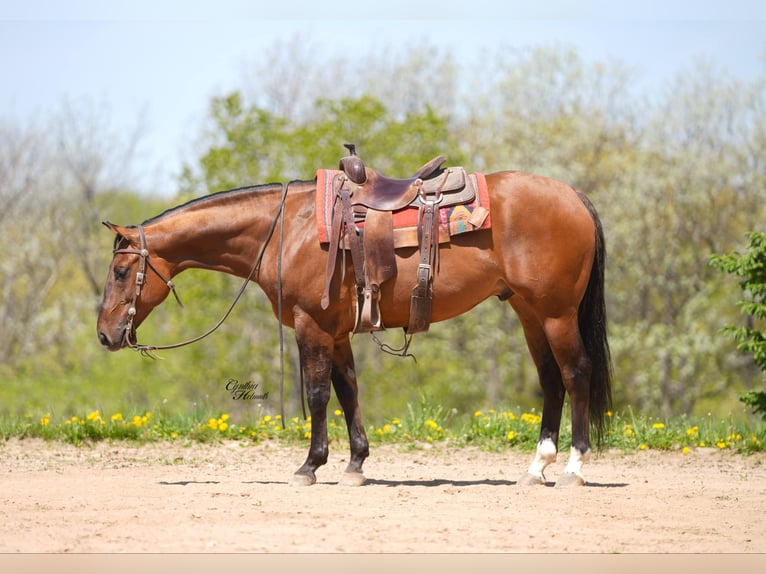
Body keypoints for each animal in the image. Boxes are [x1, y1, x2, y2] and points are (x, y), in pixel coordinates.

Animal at [96, 167, 613, 487]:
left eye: (121, 272)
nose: (104, 334)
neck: (288, 229)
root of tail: (574, 197)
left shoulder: (311, 326)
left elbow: (318, 395)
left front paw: (310, 466)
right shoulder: (337, 331)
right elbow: (348, 391)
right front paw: (356, 464)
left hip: (556, 313)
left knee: (576, 374)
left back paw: (573, 468)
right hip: (529, 313)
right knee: (551, 381)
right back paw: (536, 468)